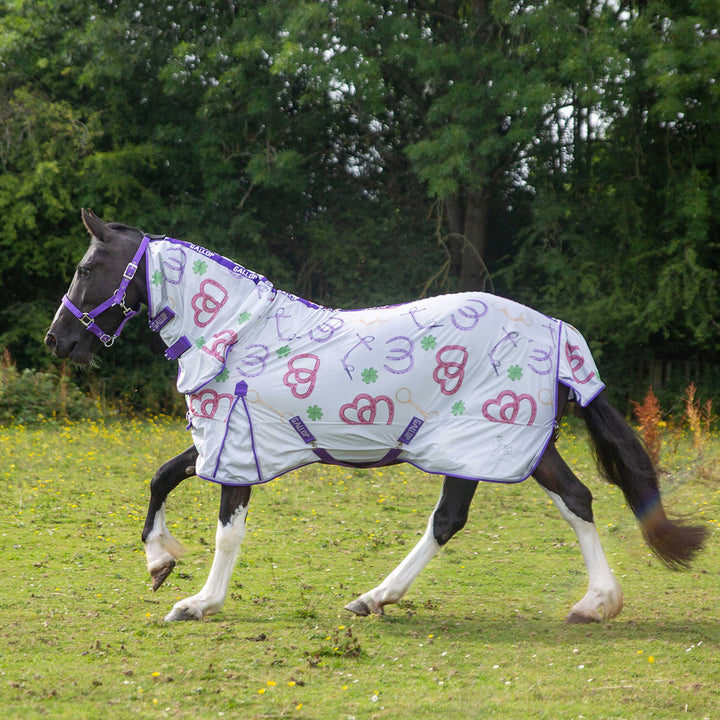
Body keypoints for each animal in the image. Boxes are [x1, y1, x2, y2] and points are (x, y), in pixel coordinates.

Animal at [46, 208, 708, 624]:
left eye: (84, 269)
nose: (58, 341)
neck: (235, 333)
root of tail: (557, 331)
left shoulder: (237, 448)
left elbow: (226, 530)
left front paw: (197, 603)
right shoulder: (222, 445)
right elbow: (161, 477)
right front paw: (160, 563)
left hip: (478, 445)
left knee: (465, 518)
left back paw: (379, 597)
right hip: (508, 448)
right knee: (566, 500)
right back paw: (594, 603)